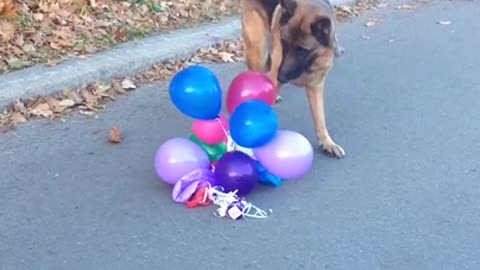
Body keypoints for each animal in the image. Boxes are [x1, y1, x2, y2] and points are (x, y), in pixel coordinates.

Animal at [240, 0, 344, 158]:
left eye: (302, 50)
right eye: (285, 43)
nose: (281, 77)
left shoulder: (315, 87)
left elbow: (320, 119)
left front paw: (327, 143)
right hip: (259, 54)